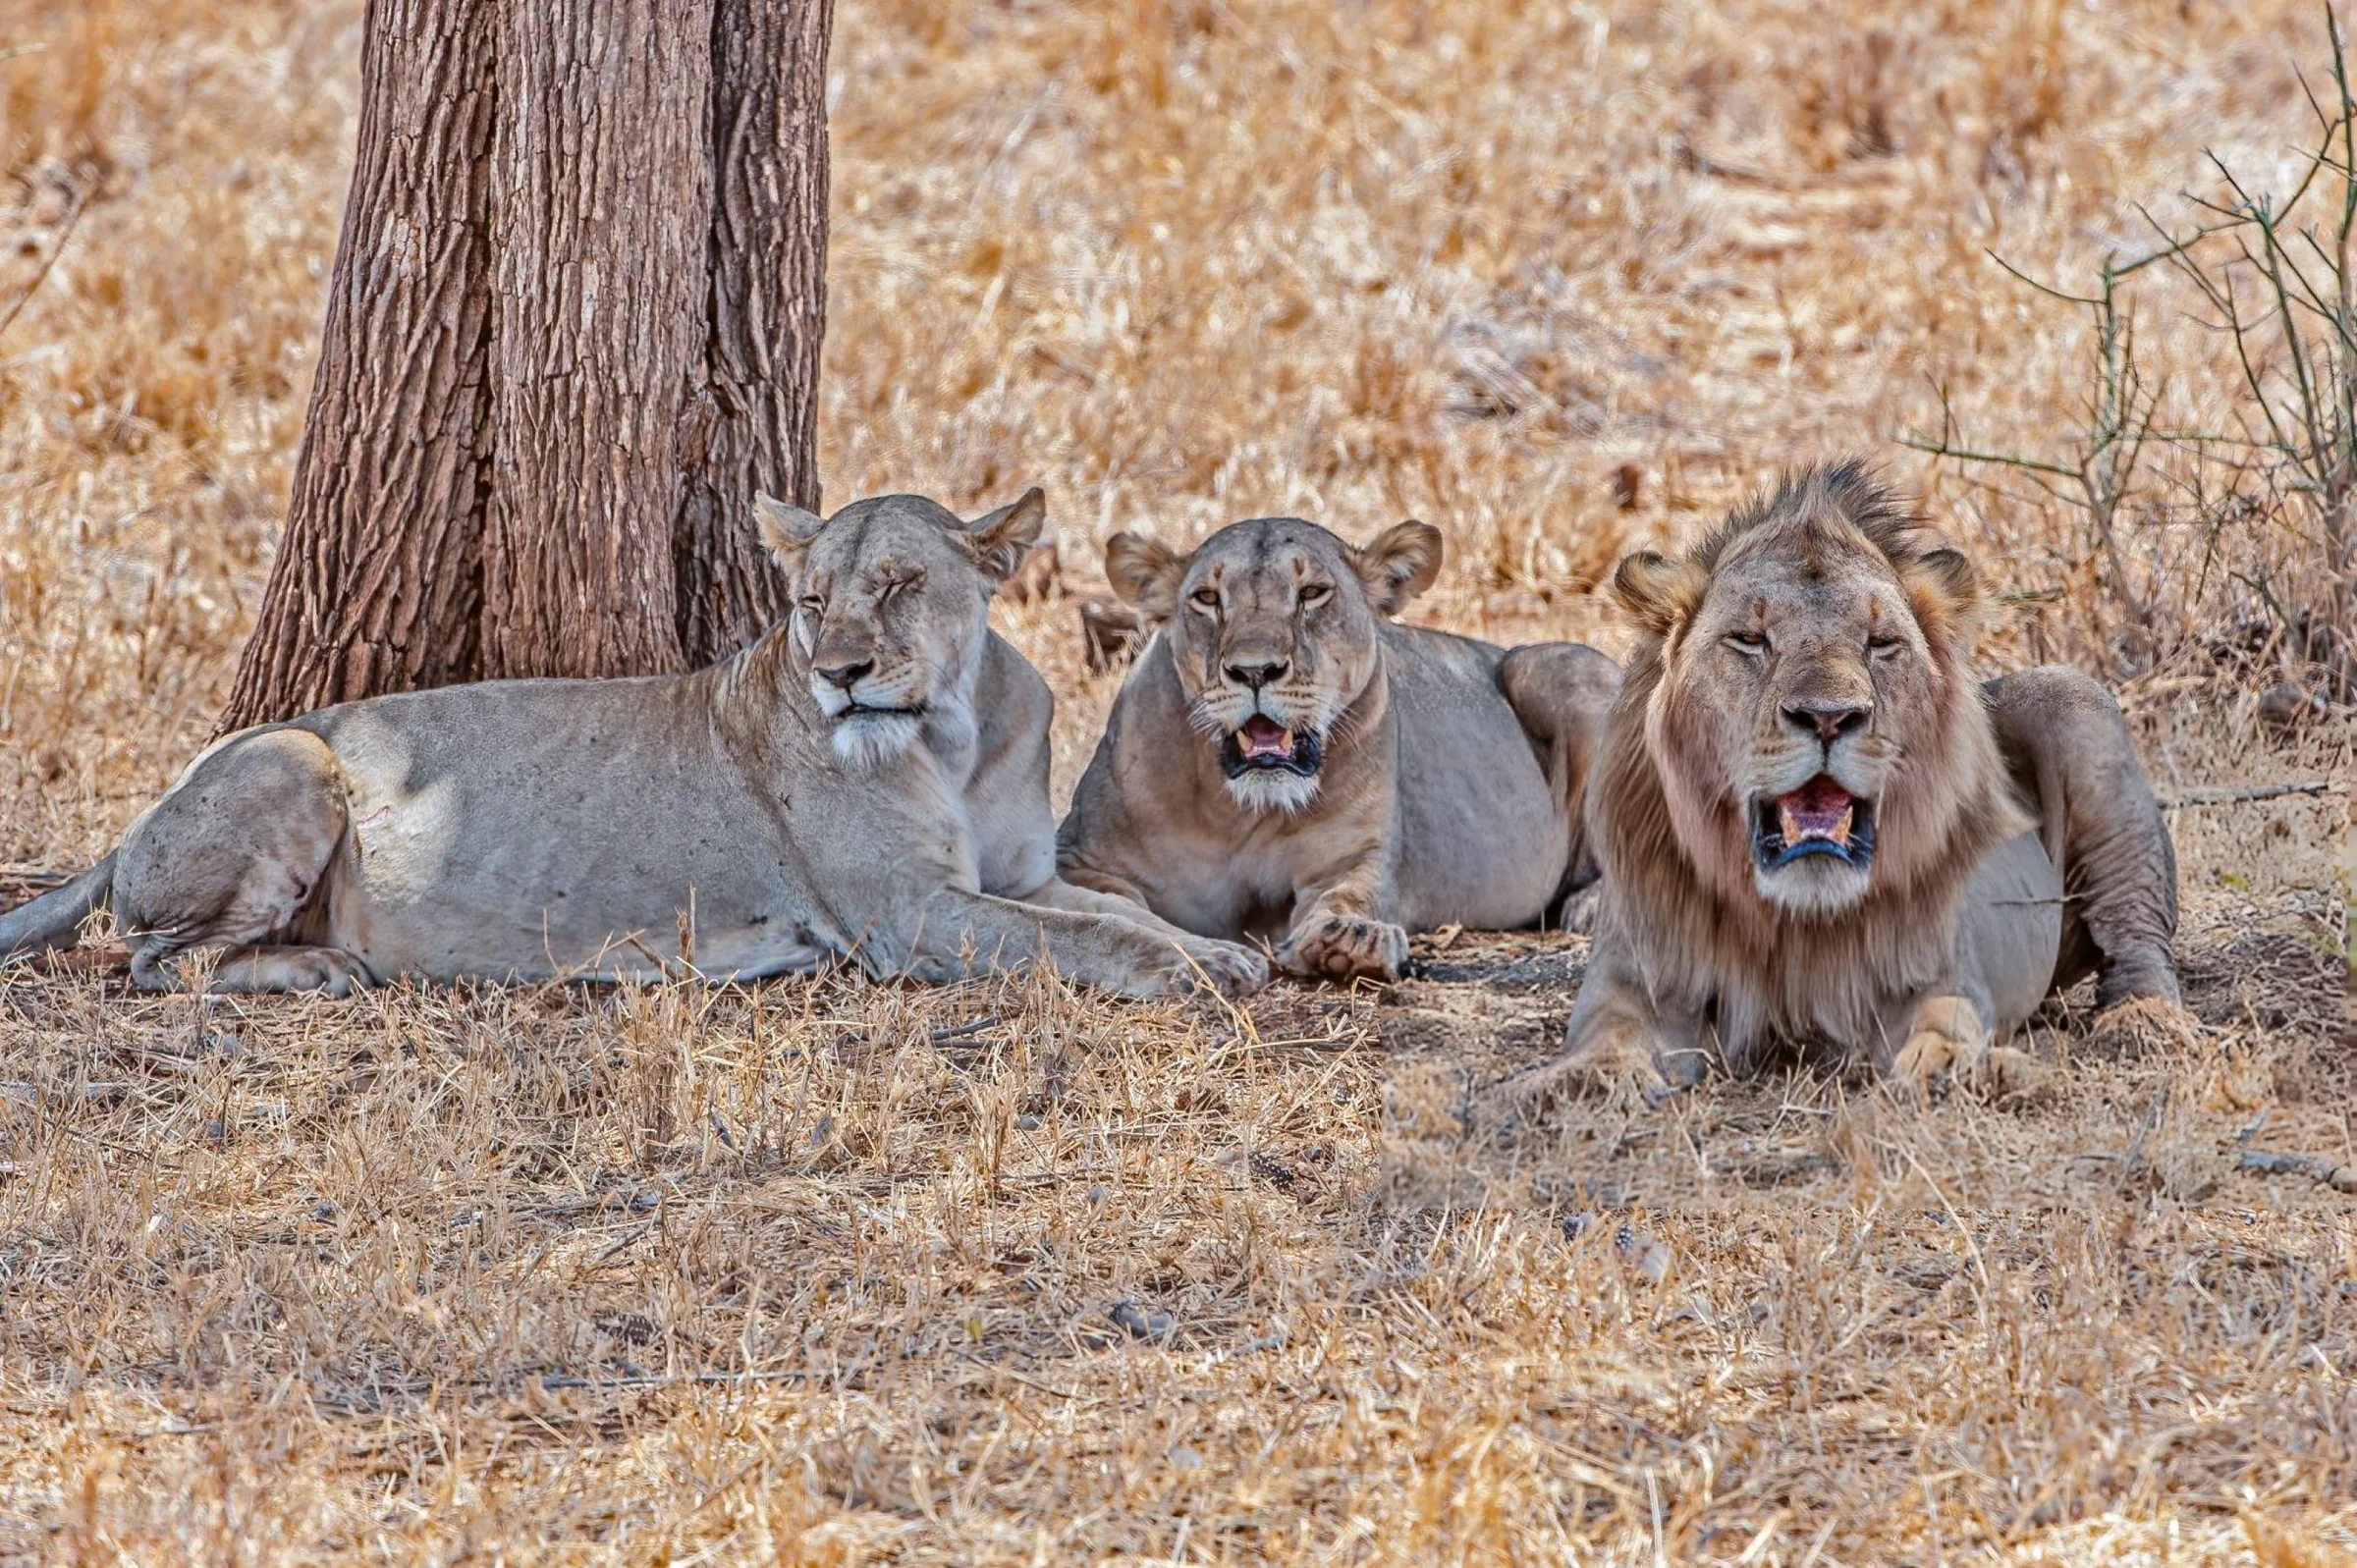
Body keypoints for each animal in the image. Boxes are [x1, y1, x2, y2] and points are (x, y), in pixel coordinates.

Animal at [0, 490, 1268, 1000]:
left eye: (902, 584)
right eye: (811, 602)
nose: (839, 673)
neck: (952, 734)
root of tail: (135, 823)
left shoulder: (1021, 876)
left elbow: (1114, 912)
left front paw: (1229, 952)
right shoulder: (906, 915)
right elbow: (1090, 941)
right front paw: (1200, 973)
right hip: (297, 762)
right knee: (158, 962)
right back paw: (322, 968)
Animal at [1055, 515, 1621, 980]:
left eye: (1312, 593)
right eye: (1208, 599)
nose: (1254, 671)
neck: (1241, 812)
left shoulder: (1355, 858)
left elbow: (1347, 897)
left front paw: (1350, 939)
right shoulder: (1085, 860)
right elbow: (1118, 910)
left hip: (1552, 668)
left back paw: (1592, 905)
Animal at [1500, 462, 2183, 1106]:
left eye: (1880, 644)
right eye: (1750, 640)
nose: (1829, 717)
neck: (1796, 918)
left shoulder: (1937, 971)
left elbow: (1948, 1016)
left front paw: (1949, 1067)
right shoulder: (1637, 977)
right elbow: (1608, 1030)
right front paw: (1583, 1079)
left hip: (2076, 700)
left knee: (2137, 938)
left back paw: (2142, 1024)